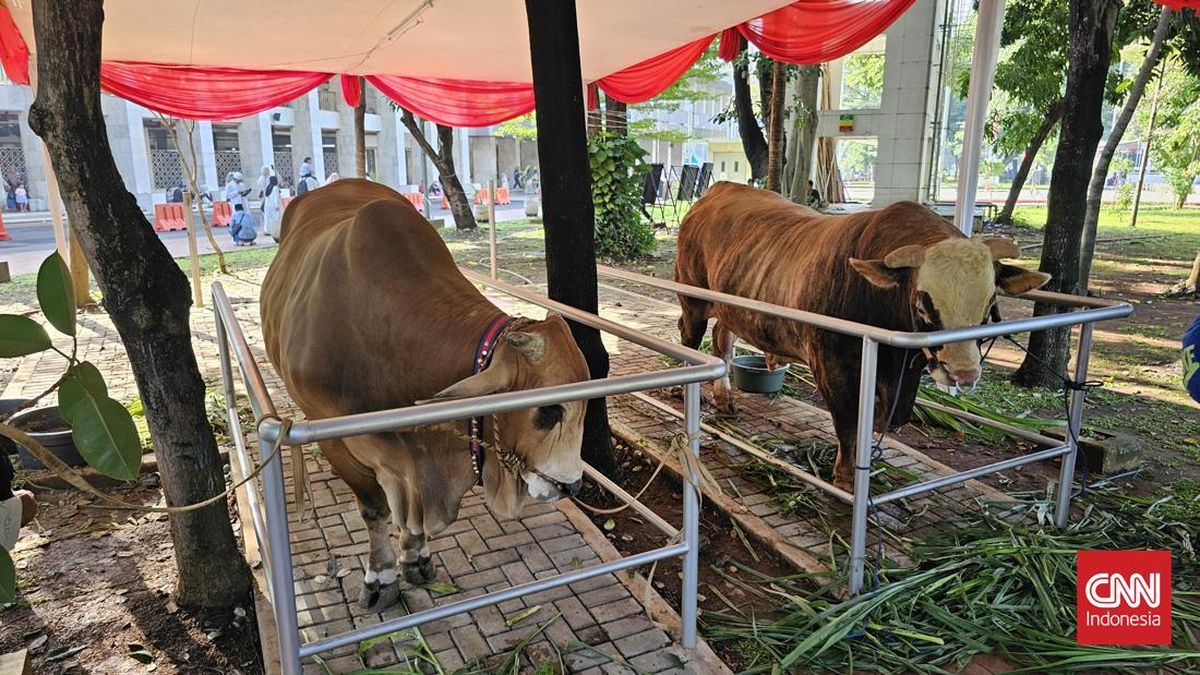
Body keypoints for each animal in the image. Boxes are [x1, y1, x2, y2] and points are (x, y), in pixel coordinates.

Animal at [261, 179, 590, 609]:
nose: (572, 486)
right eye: (549, 411)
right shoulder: (330, 433)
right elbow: (375, 509)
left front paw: (415, 557)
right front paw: (380, 577)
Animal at [674, 182, 1050, 489]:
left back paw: (725, 399)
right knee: (690, 338)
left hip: (729, 307)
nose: (963, 373)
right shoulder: (833, 366)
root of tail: (719, 190)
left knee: (723, 341)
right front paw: (845, 477)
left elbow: (874, 422)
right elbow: (849, 420)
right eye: (923, 304)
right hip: (693, 299)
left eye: (989, 304)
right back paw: (684, 391)